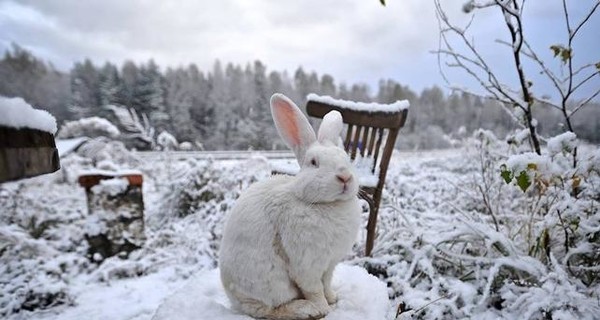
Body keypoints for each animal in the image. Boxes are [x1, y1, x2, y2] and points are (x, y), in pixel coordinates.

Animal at [220, 93, 360, 320]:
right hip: (271, 285)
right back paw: (305, 309)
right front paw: (324, 309)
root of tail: (234, 299)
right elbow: (314, 289)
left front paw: (333, 299)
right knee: (269, 309)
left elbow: (326, 283)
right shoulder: (307, 265)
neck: (325, 205)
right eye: (313, 162)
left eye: (346, 158)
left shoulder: (329, 265)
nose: (345, 177)